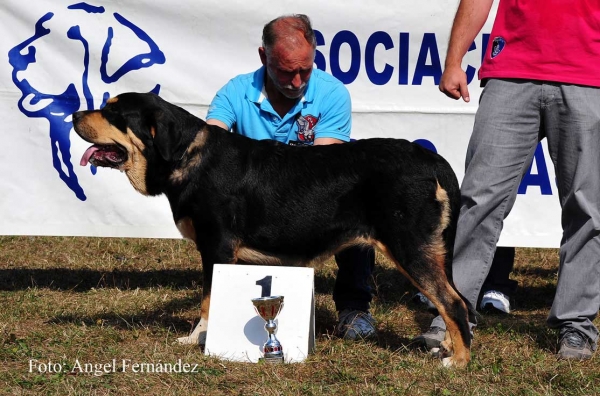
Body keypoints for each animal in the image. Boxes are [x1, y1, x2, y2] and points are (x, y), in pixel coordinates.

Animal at [71, 91, 474, 366]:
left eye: (114, 112)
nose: (73, 113)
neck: (188, 156)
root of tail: (435, 161)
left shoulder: (216, 246)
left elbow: (208, 300)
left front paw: (200, 338)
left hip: (410, 246)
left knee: (453, 302)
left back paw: (458, 361)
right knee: (454, 299)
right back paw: (449, 347)